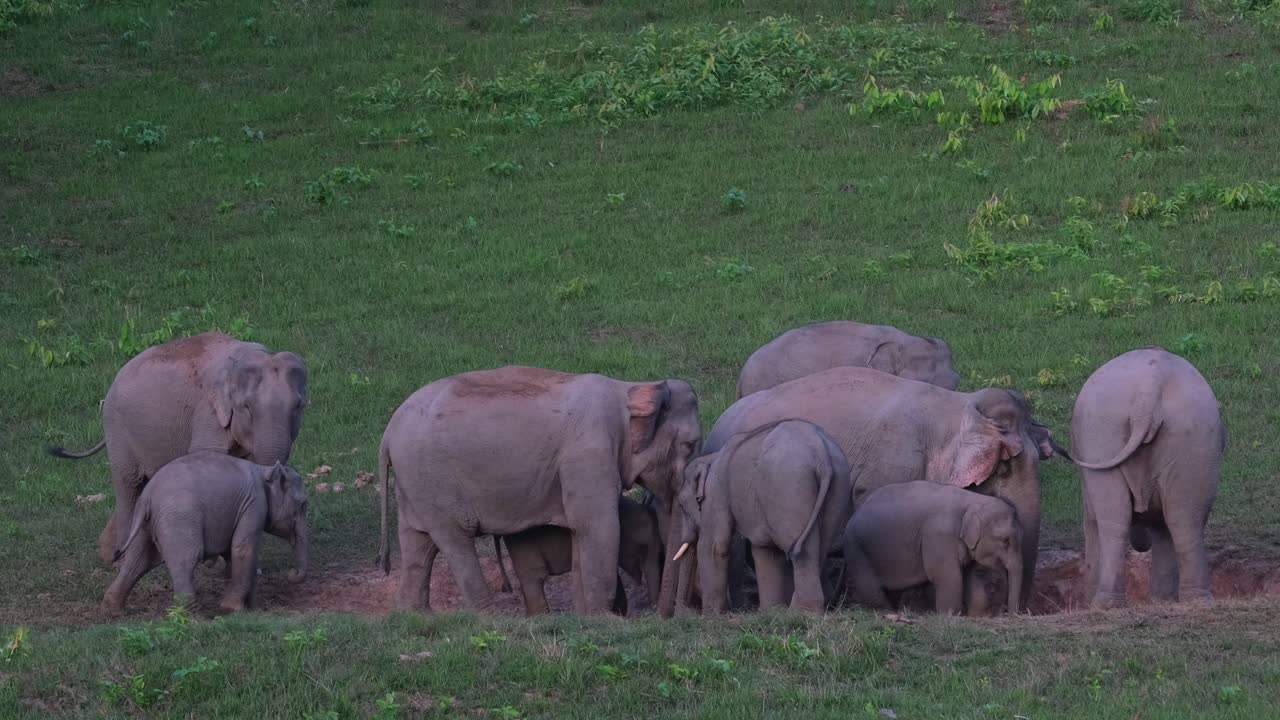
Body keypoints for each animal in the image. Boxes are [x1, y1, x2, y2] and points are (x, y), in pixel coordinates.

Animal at [49, 331, 308, 565]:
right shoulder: (208, 414)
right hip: (118, 430)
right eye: (246, 406)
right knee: (128, 485)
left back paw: (109, 553)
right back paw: (120, 558)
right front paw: (214, 561)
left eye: (299, 406)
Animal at [102, 451, 309, 616]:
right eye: (303, 504)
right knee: (185, 560)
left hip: (146, 525)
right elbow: (242, 548)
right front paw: (232, 609)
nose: (292, 573)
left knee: (139, 561)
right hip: (179, 520)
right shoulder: (254, 505)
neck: (263, 470)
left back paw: (114, 611)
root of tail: (147, 496)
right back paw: (193, 616)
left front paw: (251, 609)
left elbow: (232, 553)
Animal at [672, 419, 852, 614]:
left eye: (681, 504)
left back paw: (799, 612)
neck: (711, 457)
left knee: (801, 550)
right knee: (820, 546)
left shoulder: (716, 491)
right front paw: (770, 612)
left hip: (789, 488)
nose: (680, 614)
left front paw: (712, 616)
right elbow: (765, 550)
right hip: (838, 486)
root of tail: (820, 452)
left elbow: (713, 546)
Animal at [844, 482, 1024, 615]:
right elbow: (948, 576)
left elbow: (967, 575)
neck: (973, 500)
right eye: (1005, 541)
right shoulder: (939, 535)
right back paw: (888, 611)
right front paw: (950, 615)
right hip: (857, 549)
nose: (1009, 613)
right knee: (870, 586)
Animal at [1071, 346, 1225, 609]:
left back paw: (1105, 604)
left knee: (1115, 519)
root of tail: (1150, 385)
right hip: (1193, 435)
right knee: (1184, 518)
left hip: (1101, 432)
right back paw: (1197, 601)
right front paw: (1162, 601)